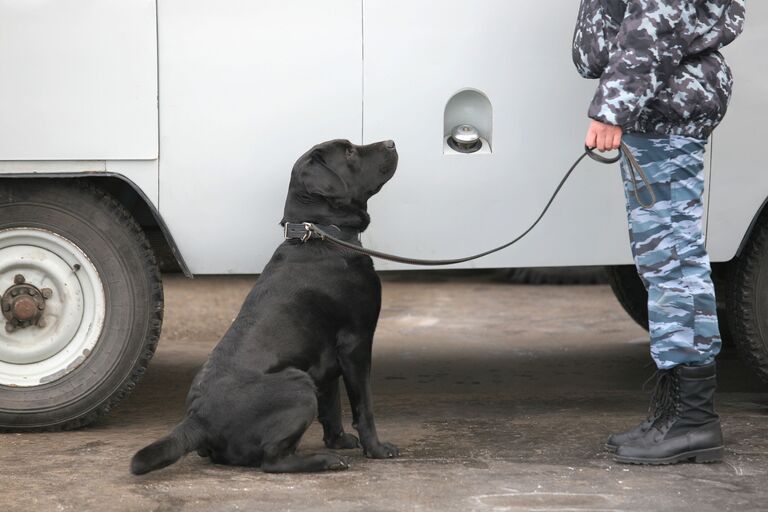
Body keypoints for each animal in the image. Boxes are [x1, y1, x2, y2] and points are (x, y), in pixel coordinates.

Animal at [130, 140, 400, 476]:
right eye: (349, 151)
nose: (391, 142)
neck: (322, 234)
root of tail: (198, 419)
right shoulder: (356, 342)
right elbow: (364, 405)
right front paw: (376, 449)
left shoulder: (327, 358)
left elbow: (332, 403)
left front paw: (337, 440)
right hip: (298, 385)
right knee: (272, 461)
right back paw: (325, 461)